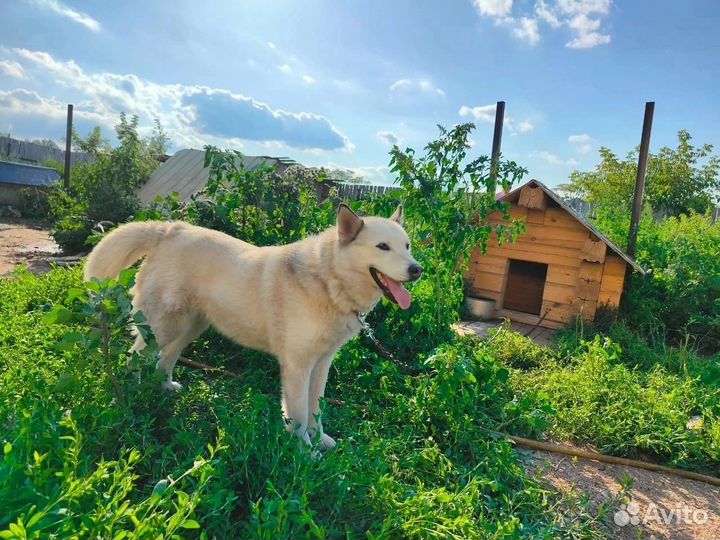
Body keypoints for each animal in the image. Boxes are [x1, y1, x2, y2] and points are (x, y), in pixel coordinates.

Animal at [84, 205, 422, 450]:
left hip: (188, 329)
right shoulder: (297, 366)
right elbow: (299, 414)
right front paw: (304, 451)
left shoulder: (321, 364)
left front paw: (320, 440)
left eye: (406, 246)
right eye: (382, 247)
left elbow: (316, 407)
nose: (417, 269)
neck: (328, 279)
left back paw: (164, 389)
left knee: (165, 360)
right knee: (134, 359)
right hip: (161, 329)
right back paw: (125, 401)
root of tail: (171, 230)